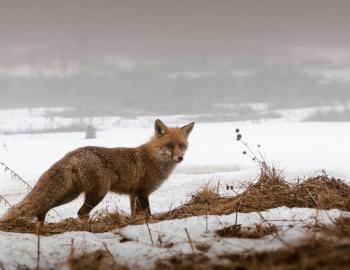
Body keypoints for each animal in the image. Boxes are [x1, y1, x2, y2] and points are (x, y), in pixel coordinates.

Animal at [0, 119, 194, 223]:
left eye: (182, 146)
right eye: (169, 145)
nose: (180, 158)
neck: (154, 158)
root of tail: (72, 153)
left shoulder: (133, 194)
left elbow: (135, 214)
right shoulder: (142, 192)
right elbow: (147, 213)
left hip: (70, 194)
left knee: (44, 207)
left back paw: (41, 224)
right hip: (99, 192)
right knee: (80, 213)